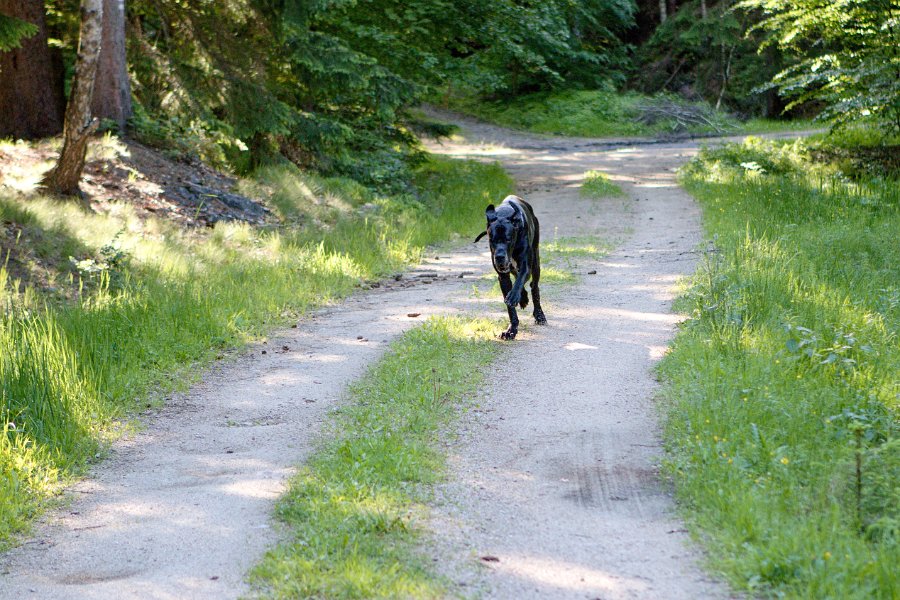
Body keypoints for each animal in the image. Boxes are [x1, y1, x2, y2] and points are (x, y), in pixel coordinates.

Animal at [474, 195, 544, 340]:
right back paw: (523, 298)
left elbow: (520, 280)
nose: (499, 256)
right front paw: (511, 330)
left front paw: (514, 297)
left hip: (535, 263)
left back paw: (539, 315)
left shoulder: (525, 266)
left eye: (508, 239)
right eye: (491, 239)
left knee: (534, 287)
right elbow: (510, 307)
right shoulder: (503, 277)